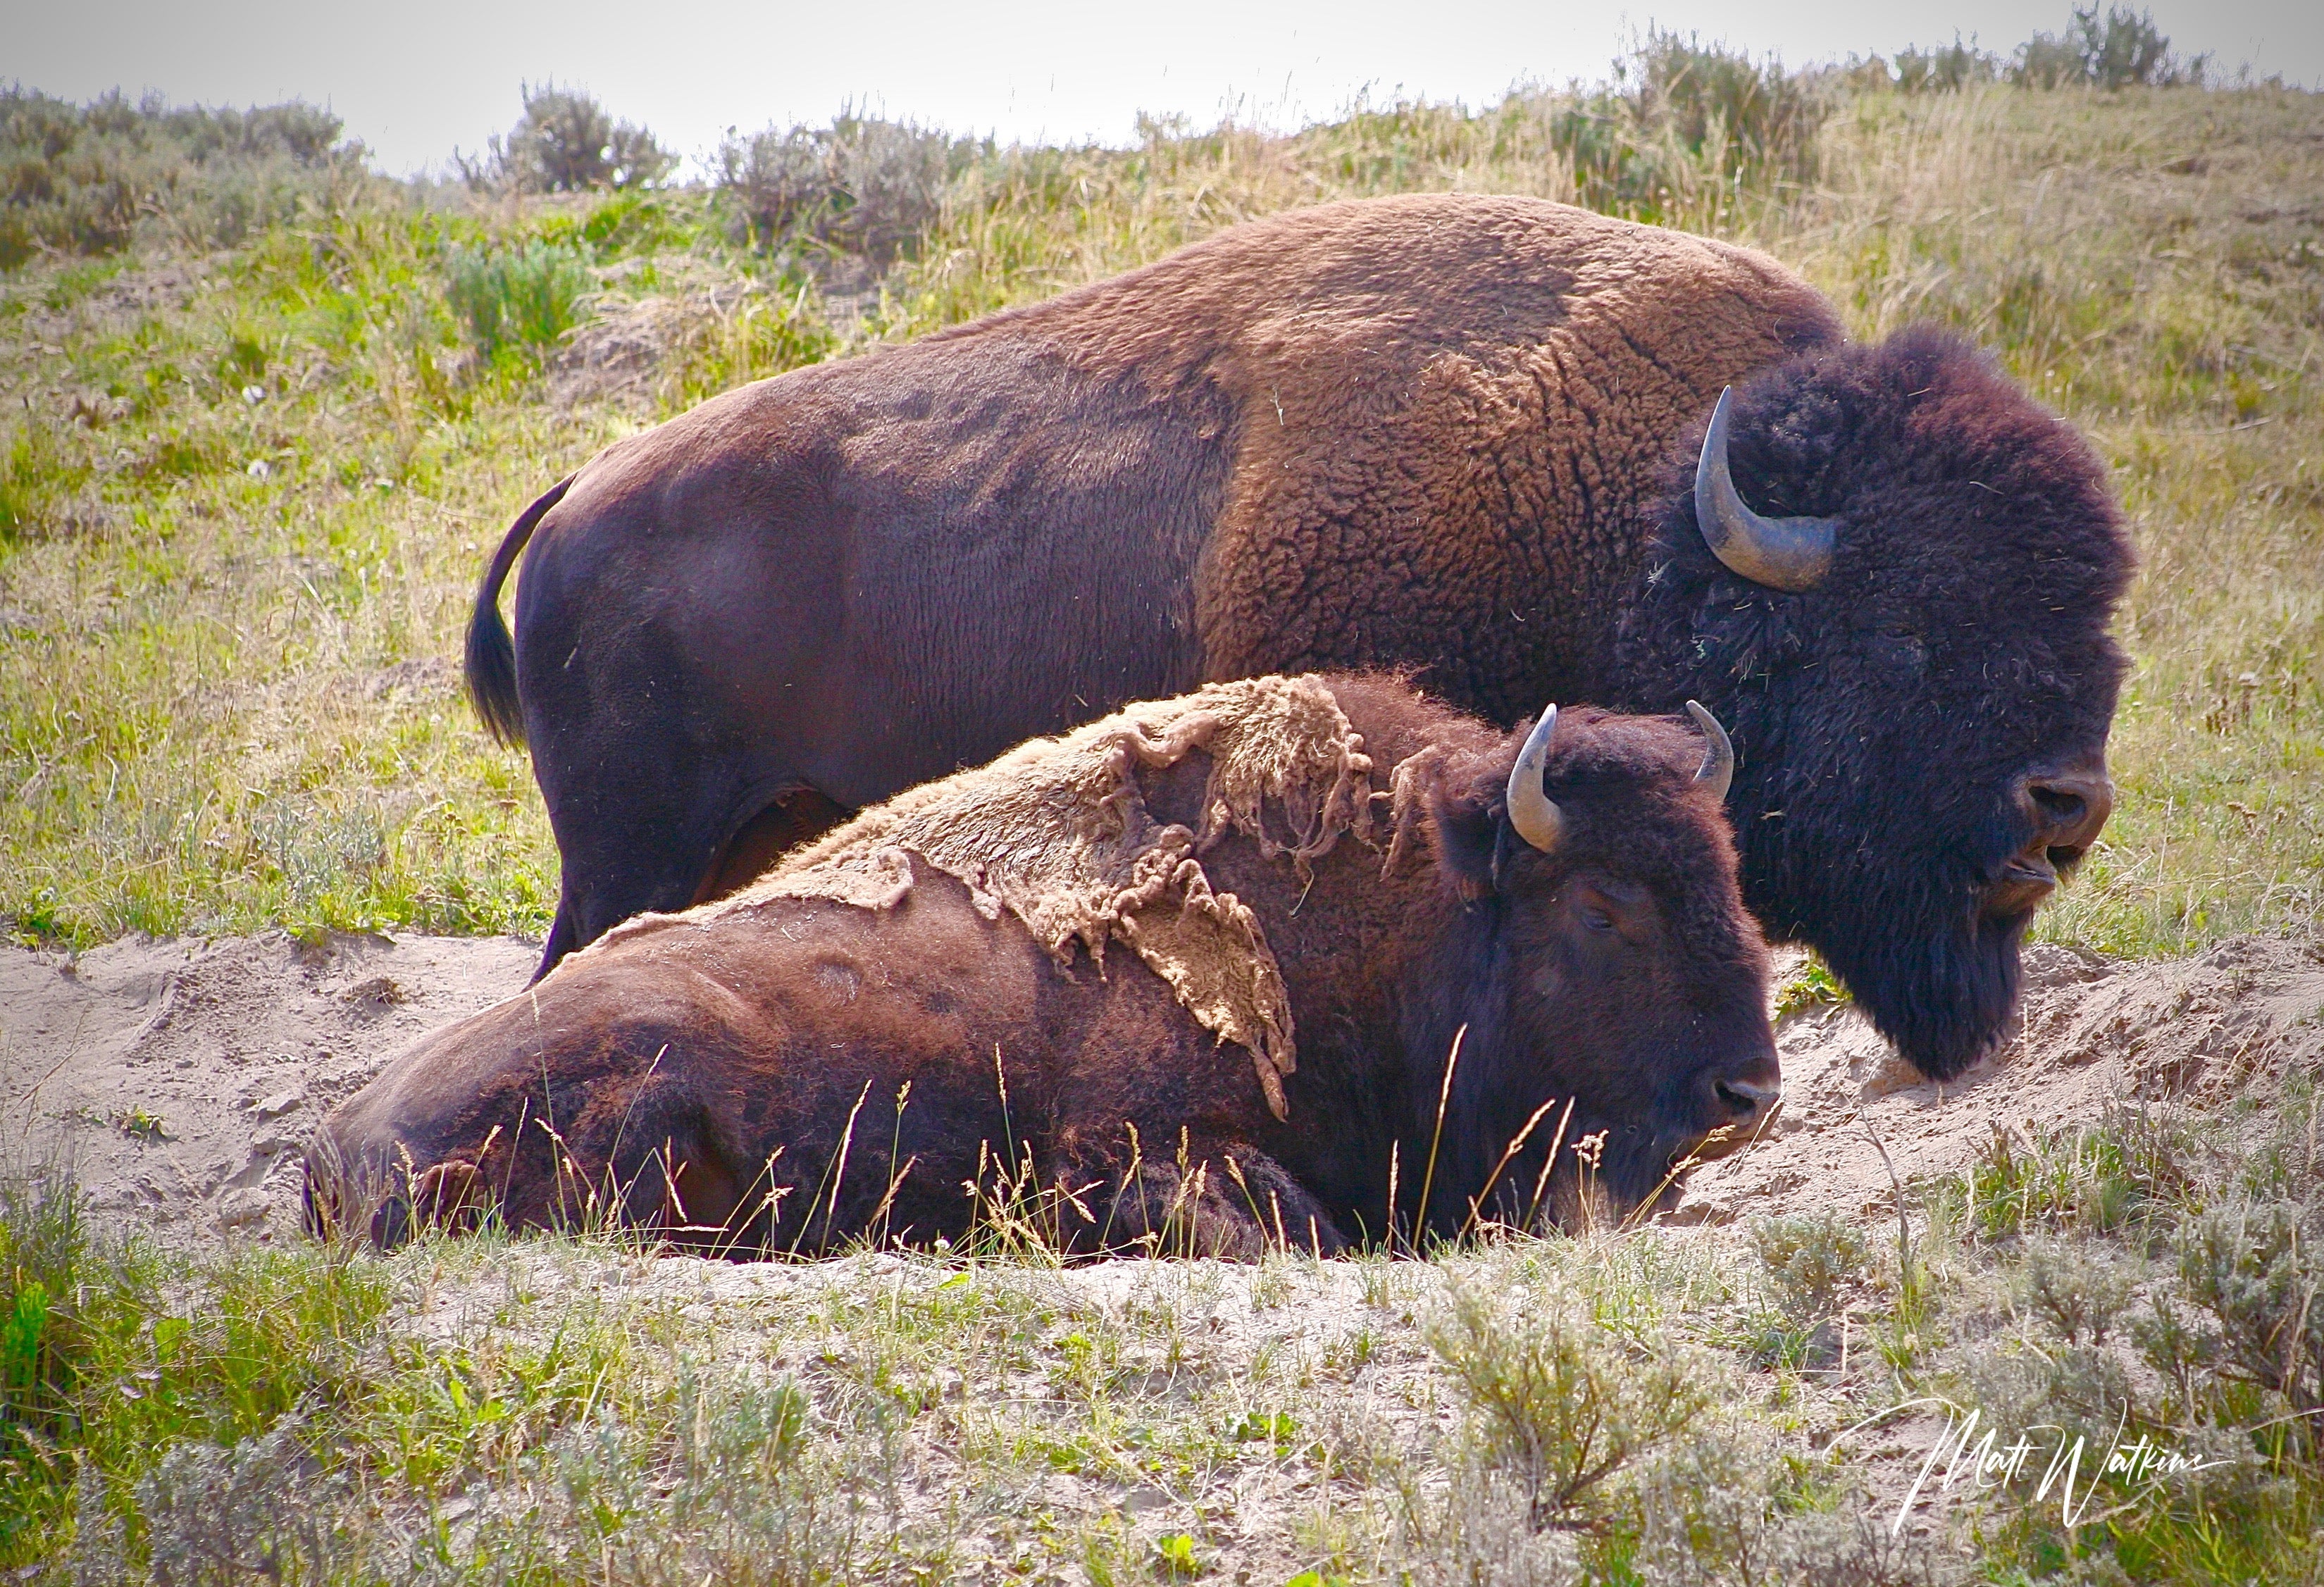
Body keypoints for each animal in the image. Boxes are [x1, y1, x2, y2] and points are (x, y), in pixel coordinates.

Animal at [309, 669, 1766, 1255]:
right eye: (1604, 907)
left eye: (1731, 877)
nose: (1746, 1091)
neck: (1402, 909)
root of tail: (340, 1143)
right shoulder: (1127, 1155)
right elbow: (1285, 1225)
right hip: (649, 1092)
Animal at [471, 189, 2128, 1078]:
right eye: (1909, 627)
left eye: (2095, 615)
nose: (2065, 802)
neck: (1643, 511)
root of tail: (575, 498)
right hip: (628, 850)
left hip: (746, 838)